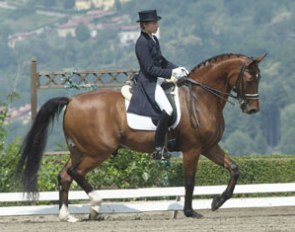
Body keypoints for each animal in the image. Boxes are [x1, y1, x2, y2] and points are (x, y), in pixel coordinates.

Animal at [15, 52, 268, 221]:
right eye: (249, 78)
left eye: (259, 77)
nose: (253, 109)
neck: (201, 97)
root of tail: (72, 100)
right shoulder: (193, 149)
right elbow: (189, 181)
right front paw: (190, 212)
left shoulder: (209, 146)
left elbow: (234, 169)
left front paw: (217, 202)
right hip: (98, 151)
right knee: (76, 173)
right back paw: (96, 205)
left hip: (79, 150)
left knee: (65, 175)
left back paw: (68, 215)